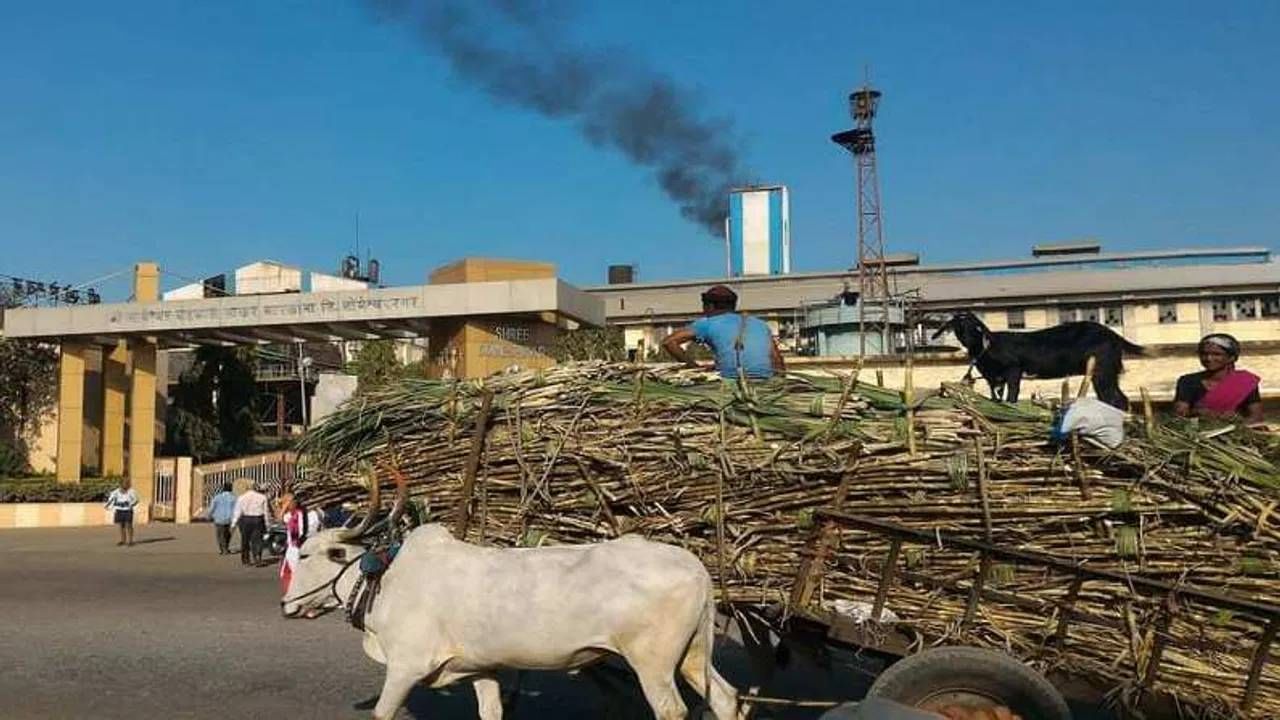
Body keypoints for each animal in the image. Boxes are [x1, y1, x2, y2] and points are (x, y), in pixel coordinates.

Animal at [931, 310, 1152, 409]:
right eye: (957, 327)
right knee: (1114, 398)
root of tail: (1115, 336)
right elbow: (997, 398)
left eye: (974, 326)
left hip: (1102, 369)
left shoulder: (1014, 369)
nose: (968, 342)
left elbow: (1012, 396)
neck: (988, 347)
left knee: (1116, 399)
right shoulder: (993, 379)